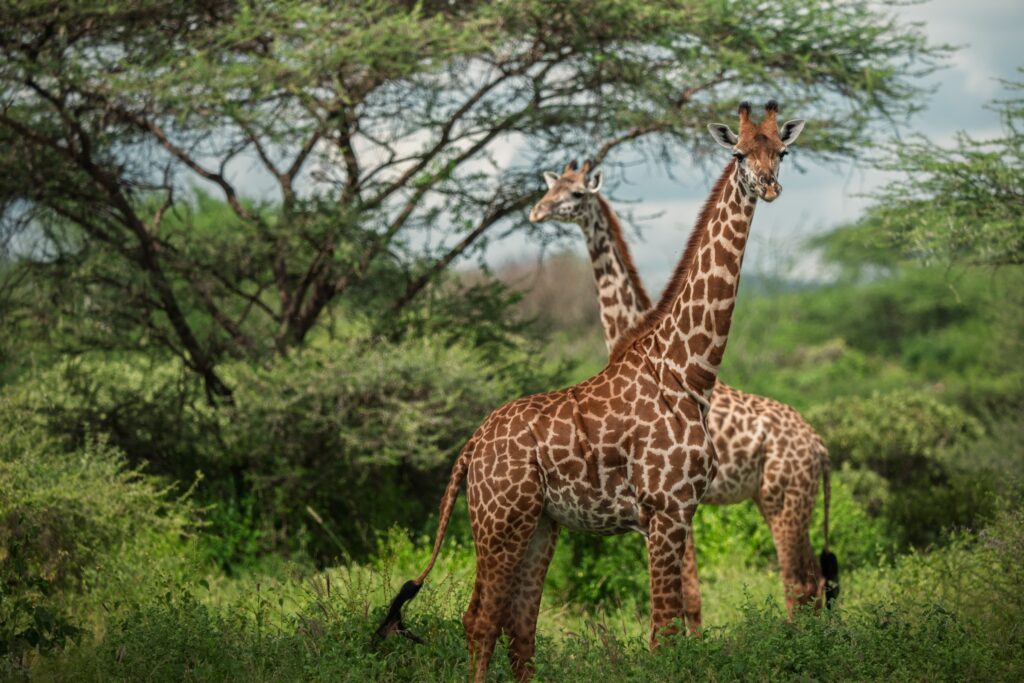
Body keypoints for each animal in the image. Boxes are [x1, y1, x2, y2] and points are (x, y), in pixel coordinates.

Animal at [375, 102, 804, 682]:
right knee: (480, 619)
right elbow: (664, 635)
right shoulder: (664, 512)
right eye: (738, 152)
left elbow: (673, 626)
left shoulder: (681, 513)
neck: (689, 370)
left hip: (541, 525)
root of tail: (470, 449)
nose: (769, 185)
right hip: (500, 521)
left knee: (519, 628)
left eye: (781, 151)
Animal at [529, 154, 839, 631]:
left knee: (799, 581)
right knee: (816, 581)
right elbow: (688, 591)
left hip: (783, 499)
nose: (537, 211)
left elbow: (687, 593)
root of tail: (820, 447)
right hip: (786, 501)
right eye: (550, 188)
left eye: (576, 193)